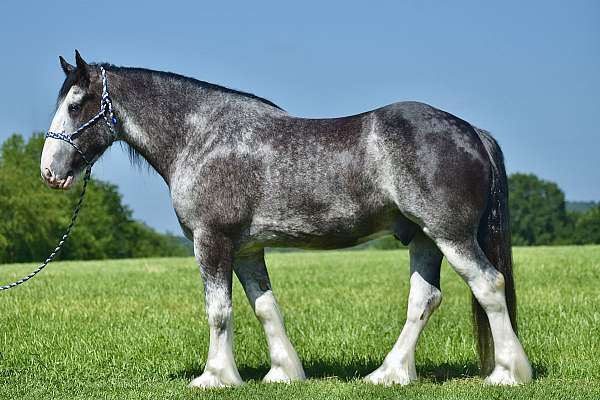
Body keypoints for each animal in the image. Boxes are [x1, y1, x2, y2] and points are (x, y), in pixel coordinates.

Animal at [39, 51, 532, 390]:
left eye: (76, 105)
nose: (49, 172)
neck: (201, 136)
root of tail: (471, 132)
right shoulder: (247, 249)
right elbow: (264, 306)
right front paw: (283, 372)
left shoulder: (211, 242)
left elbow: (218, 310)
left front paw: (215, 376)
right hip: (425, 239)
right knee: (424, 300)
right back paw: (388, 373)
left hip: (451, 236)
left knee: (489, 285)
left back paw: (508, 373)